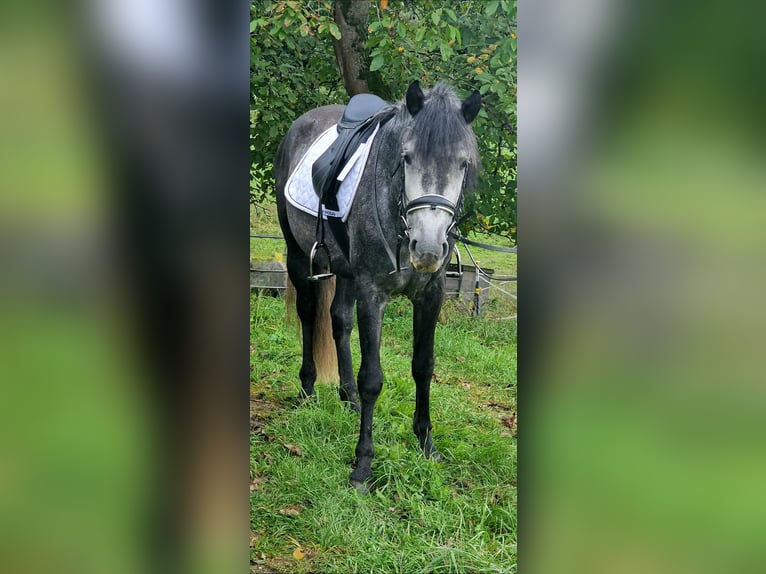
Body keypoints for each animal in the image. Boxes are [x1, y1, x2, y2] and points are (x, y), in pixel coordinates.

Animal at [274, 80, 480, 490]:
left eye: (463, 163)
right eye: (407, 158)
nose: (428, 248)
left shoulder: (430, 295)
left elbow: (423, 366)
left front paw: (426, 444)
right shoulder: (373, 293)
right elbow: (372, 378)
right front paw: (363, 465)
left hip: (346, 273)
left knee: (338, 320)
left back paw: (348, 399)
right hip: (298, 256)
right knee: (309, 316)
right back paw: (307, 389)